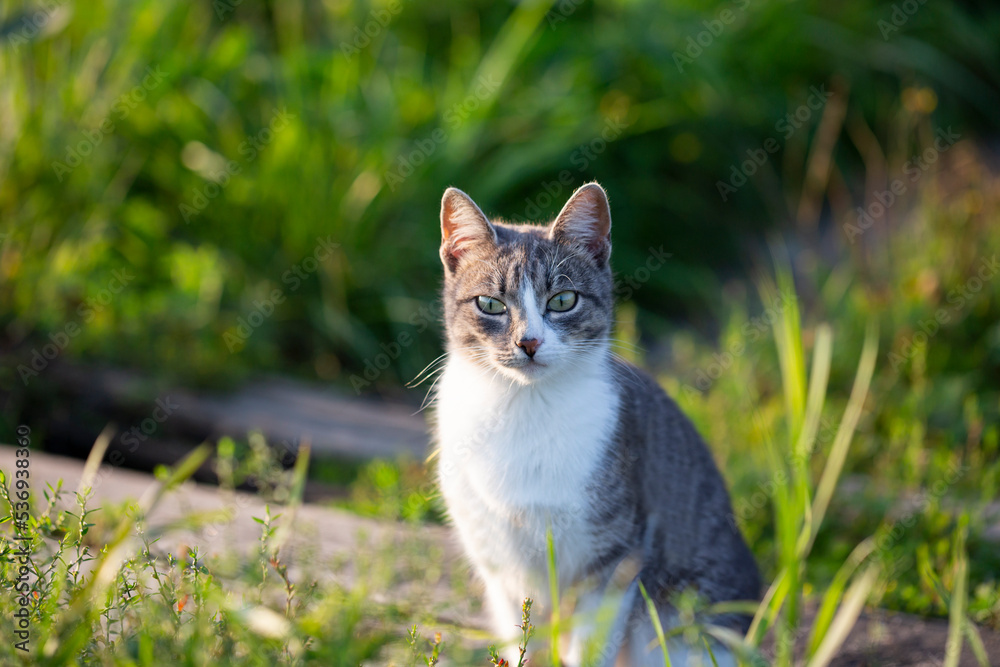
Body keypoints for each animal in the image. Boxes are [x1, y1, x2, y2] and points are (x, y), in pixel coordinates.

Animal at [430, 183, 756, 667]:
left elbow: (589, 646)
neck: (526, 408)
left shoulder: (614, 557)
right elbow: (522, 641)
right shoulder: (502, 567)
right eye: (490, 305)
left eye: (563, 300)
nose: (529, 342)